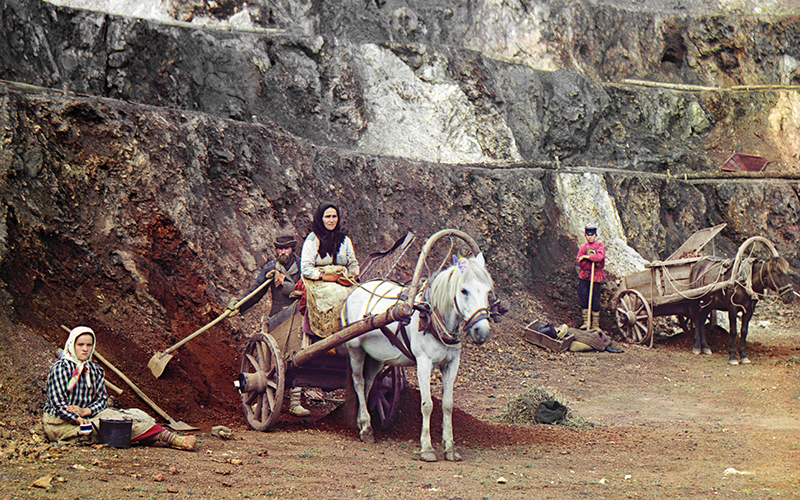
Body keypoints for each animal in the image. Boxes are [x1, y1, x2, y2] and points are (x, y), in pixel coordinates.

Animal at [342, 252, 494, 462]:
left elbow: (448, 405)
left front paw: (450, 447)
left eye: (487, 291)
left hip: (376, 357)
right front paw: (427, 448)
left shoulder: (452, 363)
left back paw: (363, 422)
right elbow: (427, 404)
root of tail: (354, 291)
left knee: (369, 382)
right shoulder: (424, 362)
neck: (433, 317)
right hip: (355, 348)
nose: (482, 331)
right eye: (464, 291)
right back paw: (365, 428)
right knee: (358, 381)